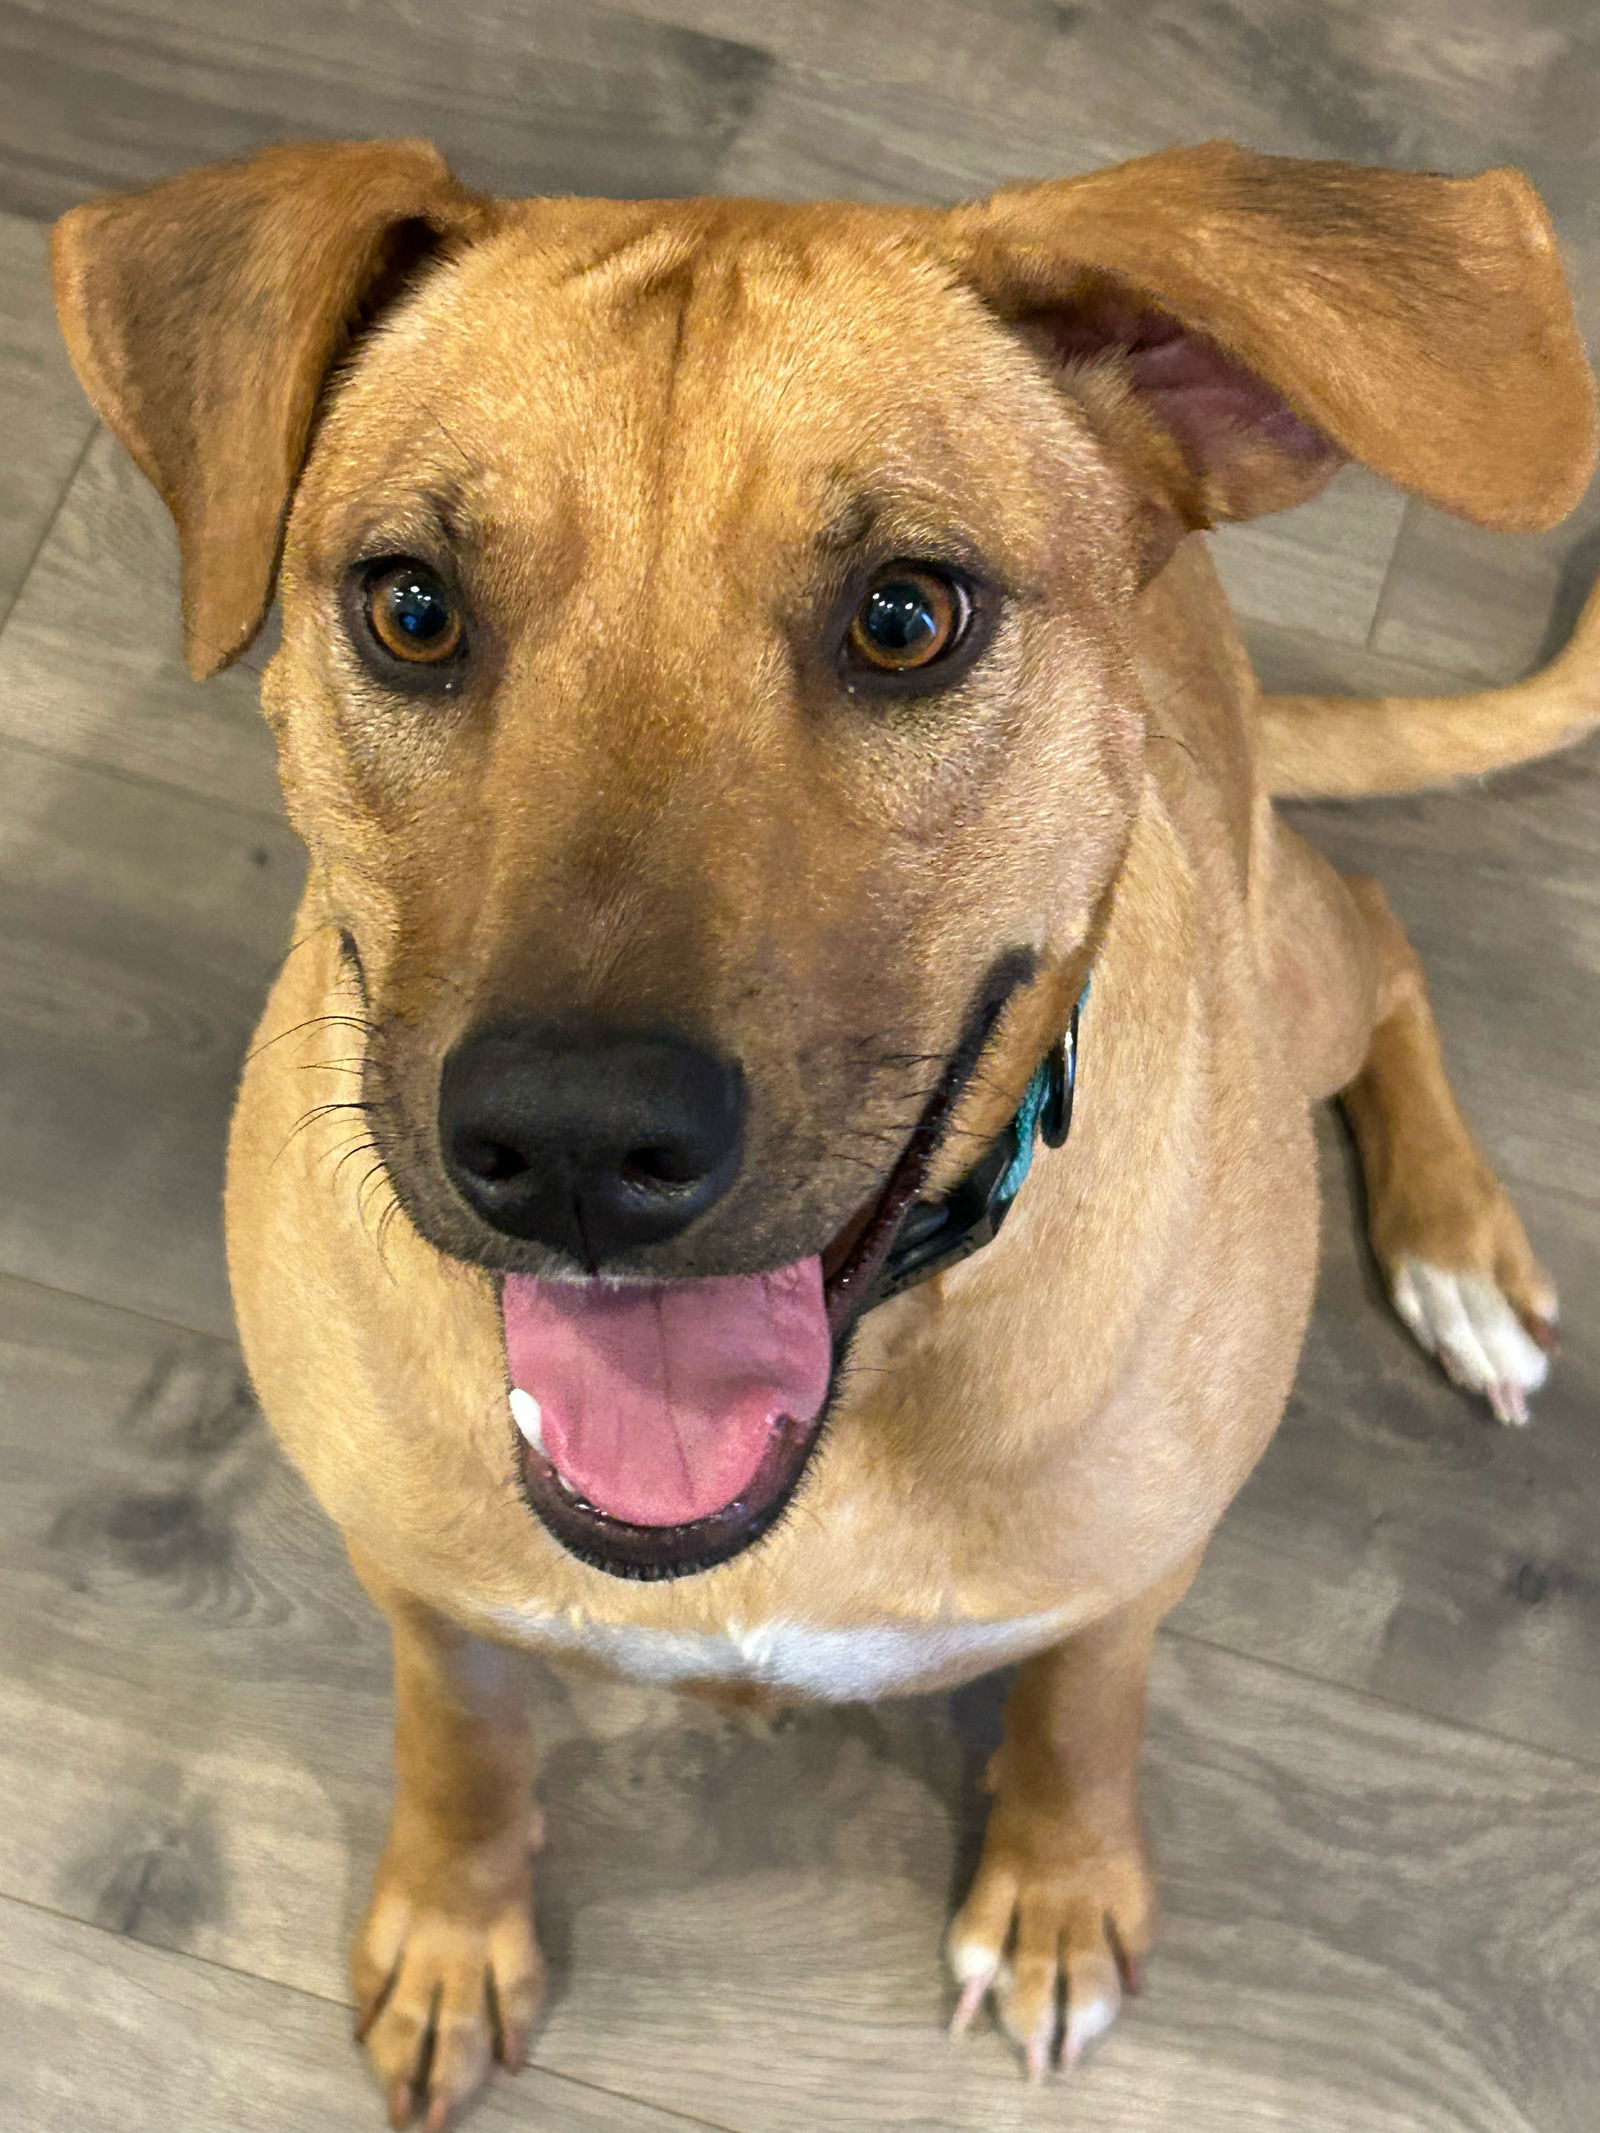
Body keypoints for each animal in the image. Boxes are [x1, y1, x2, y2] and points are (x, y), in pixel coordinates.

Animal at [50, 141, 1600, 2124]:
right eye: (410, 605)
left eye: (906, 616)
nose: (576, 1140)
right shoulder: (416, 1579)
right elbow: (459, 1735)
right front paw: (456, 1926)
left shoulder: (1133, 1571)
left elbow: (1086, 1710)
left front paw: (1059, 1888)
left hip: (1300, 959)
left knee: (1387, 928)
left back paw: (1459, 1249)